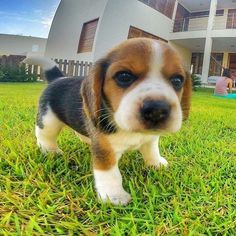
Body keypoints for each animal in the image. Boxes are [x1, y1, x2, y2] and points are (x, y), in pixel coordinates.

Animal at [24, 37, 192, 206]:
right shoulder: (105, 150)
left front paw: (156, 163)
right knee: (44, 136)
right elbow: (110, 173)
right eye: (124, 77)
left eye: (177, 80)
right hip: (48, 121)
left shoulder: (150, 139)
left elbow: (152, 150)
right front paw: (114, 196)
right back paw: (50, 150)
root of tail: (59, 78)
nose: (157, 110)